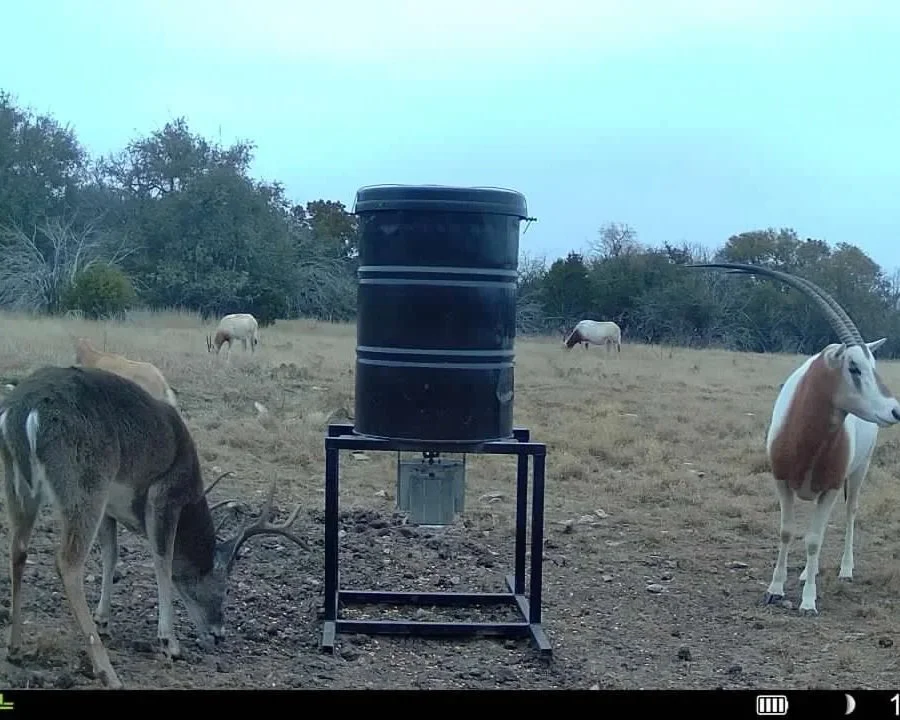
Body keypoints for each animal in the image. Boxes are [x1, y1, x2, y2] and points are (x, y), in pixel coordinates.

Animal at [0, 364, 309, 689]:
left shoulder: (109, 507)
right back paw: (107, 672)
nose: (218, 634)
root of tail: (24, 410)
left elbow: (112, 554)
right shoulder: (164, 494)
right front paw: (169, 642)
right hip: (86, 478)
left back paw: (15, 646)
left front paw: (104, 619)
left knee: (18, 548)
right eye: (224, 588)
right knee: (67, 562)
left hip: (19, 481)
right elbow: (163, 560)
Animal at [689, 262, 900, 614]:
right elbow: (787, 531)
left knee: (849, 512)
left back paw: (844, 571)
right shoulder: (782, 481)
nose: (895, 410)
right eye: (854, 367)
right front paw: (775, 589)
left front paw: (809, 601)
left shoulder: (830, 487)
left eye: (873, 365)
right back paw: (803, 574)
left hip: (859, 471)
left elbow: (814, 539)